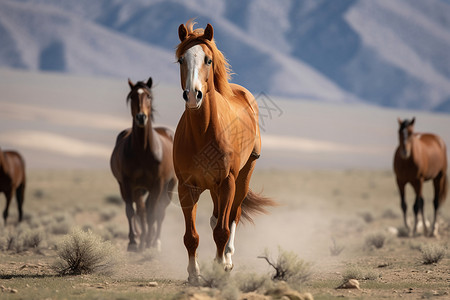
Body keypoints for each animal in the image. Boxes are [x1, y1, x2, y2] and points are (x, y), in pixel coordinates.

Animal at [110, 77, 178, 251]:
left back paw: (155, 240)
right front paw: (133, 242)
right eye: (132, 96)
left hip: (169, 185)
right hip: (135, 188)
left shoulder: (158, 184)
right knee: (141, 210)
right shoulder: (128, 183)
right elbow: (131, 211)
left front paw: (149, 241)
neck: (143, 150)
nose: (141, 117)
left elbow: (153, 212)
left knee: (160, 211)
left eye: (149, 96)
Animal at [174, 21, 276, 284]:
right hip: (213, 187)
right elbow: (191, 236)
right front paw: (194, 273)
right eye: (181, 60)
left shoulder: (228, 181)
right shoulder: (186, 187)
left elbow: (222, 230)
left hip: (242, 177)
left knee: (233, 215)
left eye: (208, 60)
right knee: (216, 216)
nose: (193, 95)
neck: (203, 134)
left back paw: (228, 259)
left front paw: (220, 268)